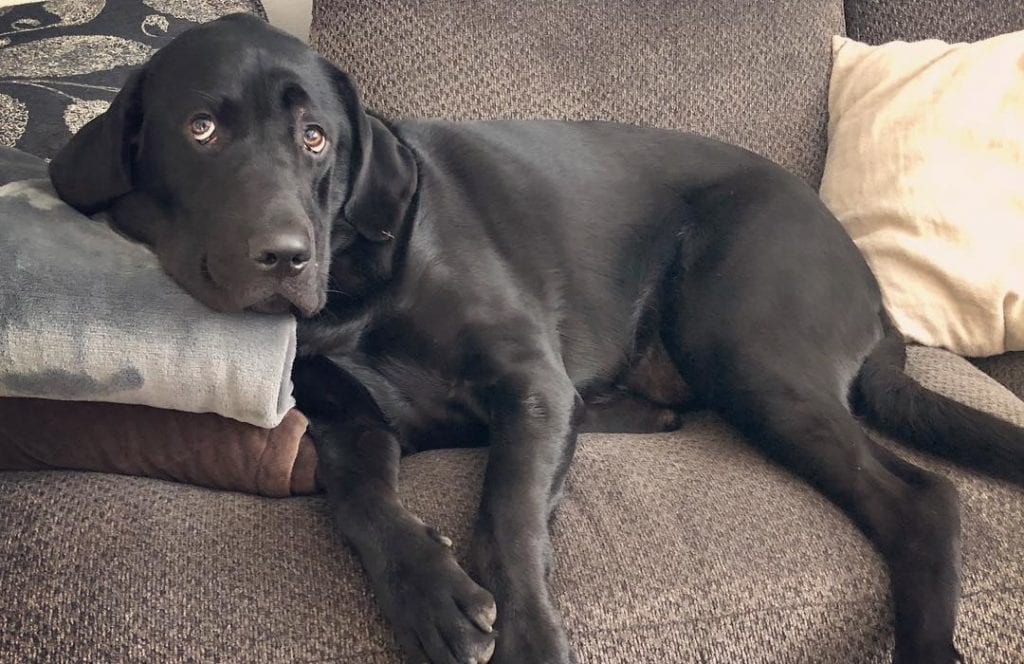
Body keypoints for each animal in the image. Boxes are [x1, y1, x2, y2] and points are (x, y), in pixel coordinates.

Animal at [51, 11, 1024, 664]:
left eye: (317, 138)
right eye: (201, 129)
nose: (284, 256)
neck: (356, 292)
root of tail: (871, 285)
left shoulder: (527, 382)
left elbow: (507, 514)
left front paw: (521, 630)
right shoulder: (346, 422)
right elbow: (359, 499)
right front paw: (429, 593)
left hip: (749, 346)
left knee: (923, 499)